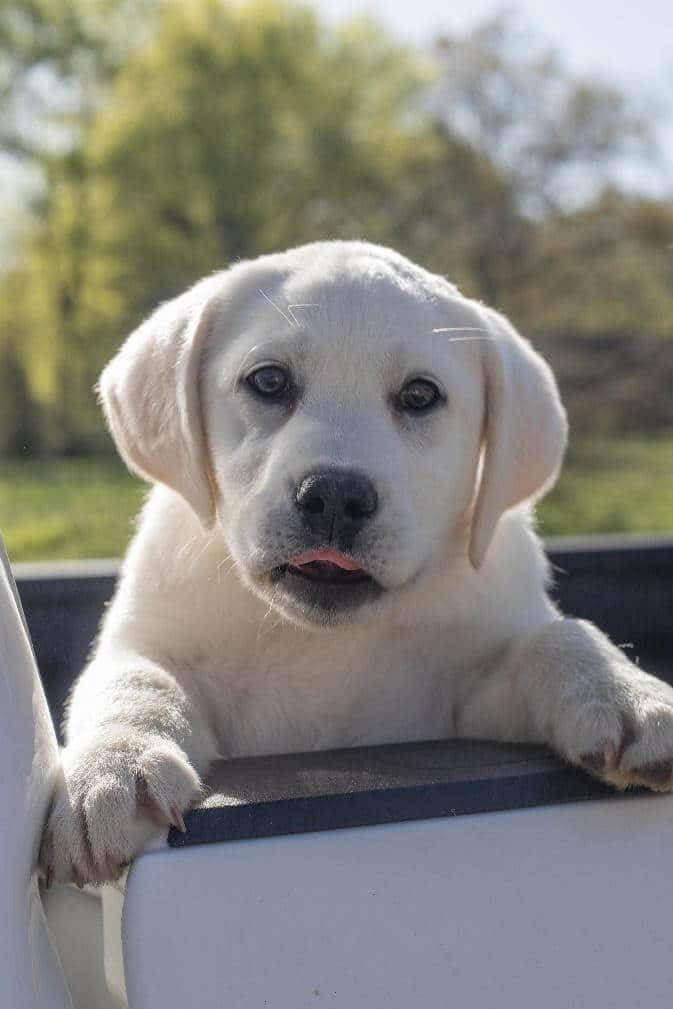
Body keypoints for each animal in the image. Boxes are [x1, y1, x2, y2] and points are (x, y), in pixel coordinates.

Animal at [40, 242, 673, 883]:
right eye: (268, 380)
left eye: (420, 395)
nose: (335, 497)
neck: (325, 642)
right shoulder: (151, 640)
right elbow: (131, 678)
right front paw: (110, 768)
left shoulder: (466, 709)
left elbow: (556, 637)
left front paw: (623, 692)